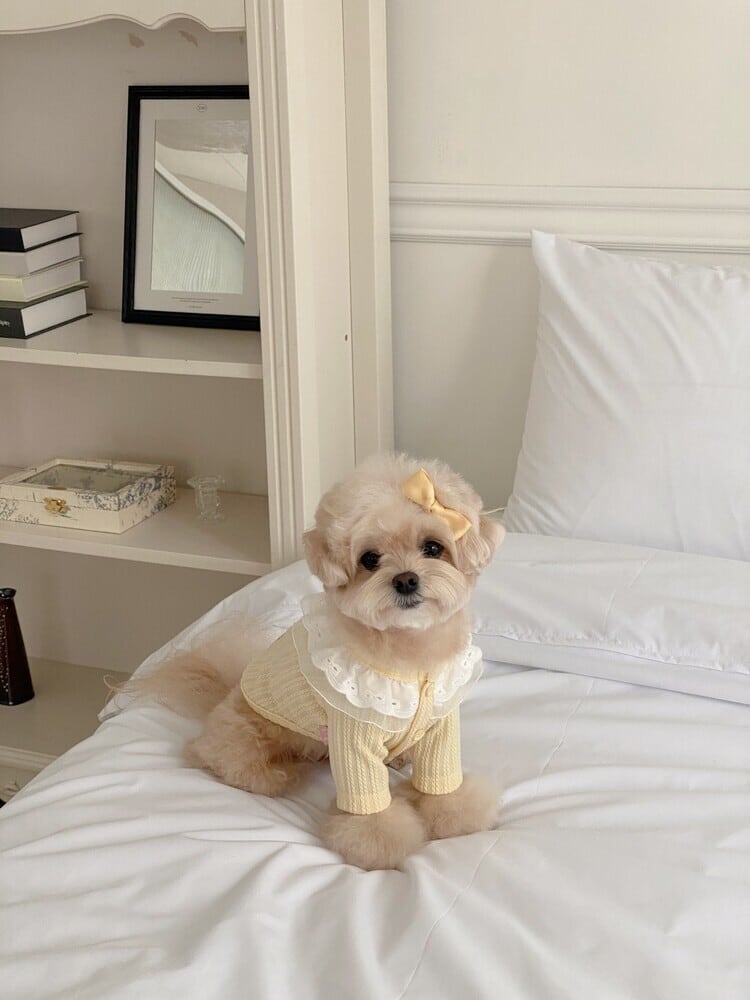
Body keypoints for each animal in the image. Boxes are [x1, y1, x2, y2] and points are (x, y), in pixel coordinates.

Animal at [137, 454, 505, 869]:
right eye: (370, 559)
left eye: (432, 547)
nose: (406, 580)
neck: (407, 654)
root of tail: (227, 690)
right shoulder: (352, 736)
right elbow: (369, 811)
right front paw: (381, 845)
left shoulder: (441, 725)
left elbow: (443, 781)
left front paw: (454, 813)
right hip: (247, 735)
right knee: (220, 758)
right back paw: (273, 773)